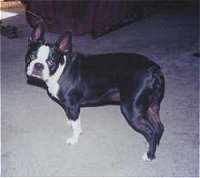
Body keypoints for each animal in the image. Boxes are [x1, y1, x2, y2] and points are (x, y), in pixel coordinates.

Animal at [25, 23, 165, 161]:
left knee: (151, 131)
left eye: (51, 62)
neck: (61, 69)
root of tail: (154, 69)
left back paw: (149, 155)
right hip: (151, 107)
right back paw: (151, 146)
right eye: (31, 56)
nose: (38, 65)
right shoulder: (70, 106)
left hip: (131, 109)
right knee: (159, 127)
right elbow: (74, 119)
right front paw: (71, 123)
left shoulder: (72, 105)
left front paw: (74, 138)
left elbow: (76, 124)